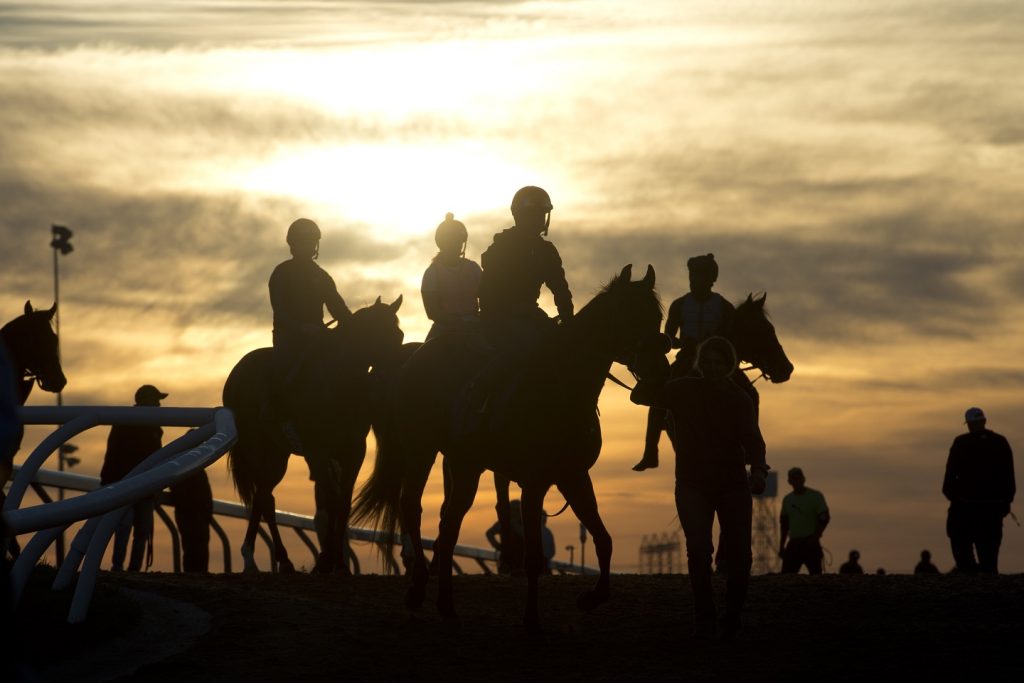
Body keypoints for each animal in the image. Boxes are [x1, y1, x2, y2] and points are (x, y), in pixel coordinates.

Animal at [224, 296, 403, 573]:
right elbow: (330, 500)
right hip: (257, 449)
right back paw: (265, 558)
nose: (396, 373)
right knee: (264, 498)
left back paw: (264, 558)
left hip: (278, 454)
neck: (338, 382)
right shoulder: (318, 451)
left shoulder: (353, 451)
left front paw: (338, 562)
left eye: (399, 334)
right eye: (378, 334)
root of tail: (236, 372)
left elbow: (342, 503)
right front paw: (326, 560)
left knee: (264, 496)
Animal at [356, 264, 667, 626]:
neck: (562, 387)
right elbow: (533, 556)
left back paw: (446, 605)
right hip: (421, 449)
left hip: (465, 464)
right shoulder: (534, 483)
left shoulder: (574, 476)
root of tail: (411, 361)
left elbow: (604, 540)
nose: (658, 374)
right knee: (412, 509)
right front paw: (531, 618)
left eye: (657, 317)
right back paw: (418, 588)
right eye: (628, 315)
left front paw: (592, 597)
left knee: (448, 526)